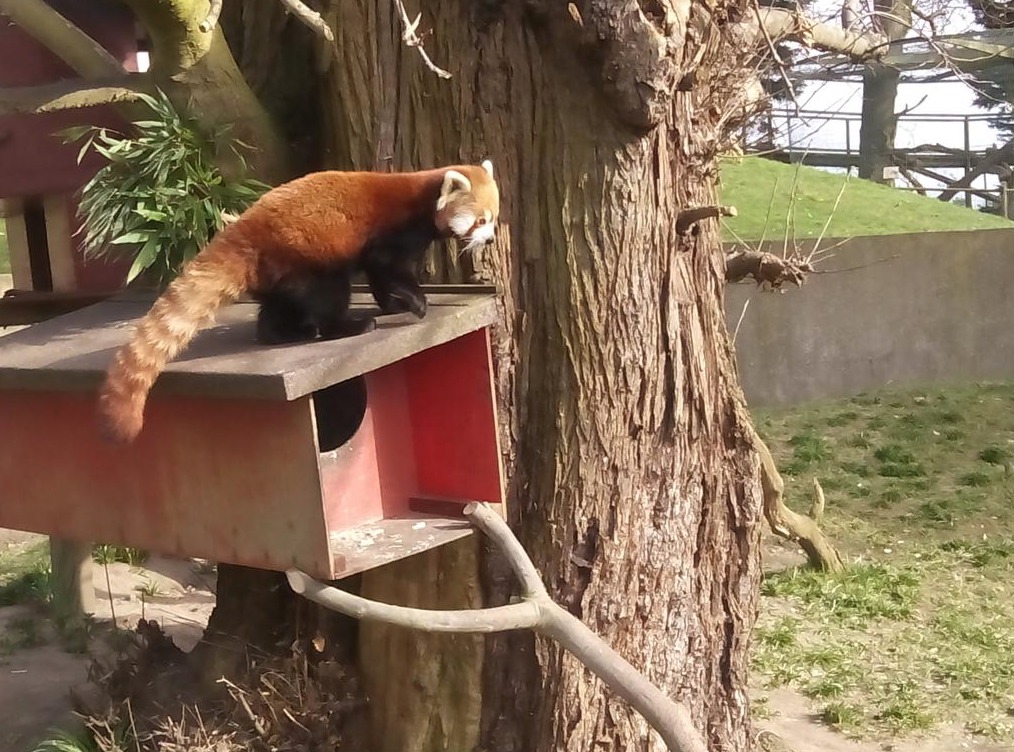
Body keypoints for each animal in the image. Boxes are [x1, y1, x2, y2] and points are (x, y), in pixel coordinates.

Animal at [96, 158, 500, 441]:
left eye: (494, 218)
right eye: (480, 221)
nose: (492, 238)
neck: (423, 195)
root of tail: (243, 229)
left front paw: (395, 304)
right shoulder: (392, 233)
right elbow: (386, 269)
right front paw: (413, 302)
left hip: (278, 270)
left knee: (278, 306)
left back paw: (284, 333)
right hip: (308, 254)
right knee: (327, 294)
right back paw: (348, 326)